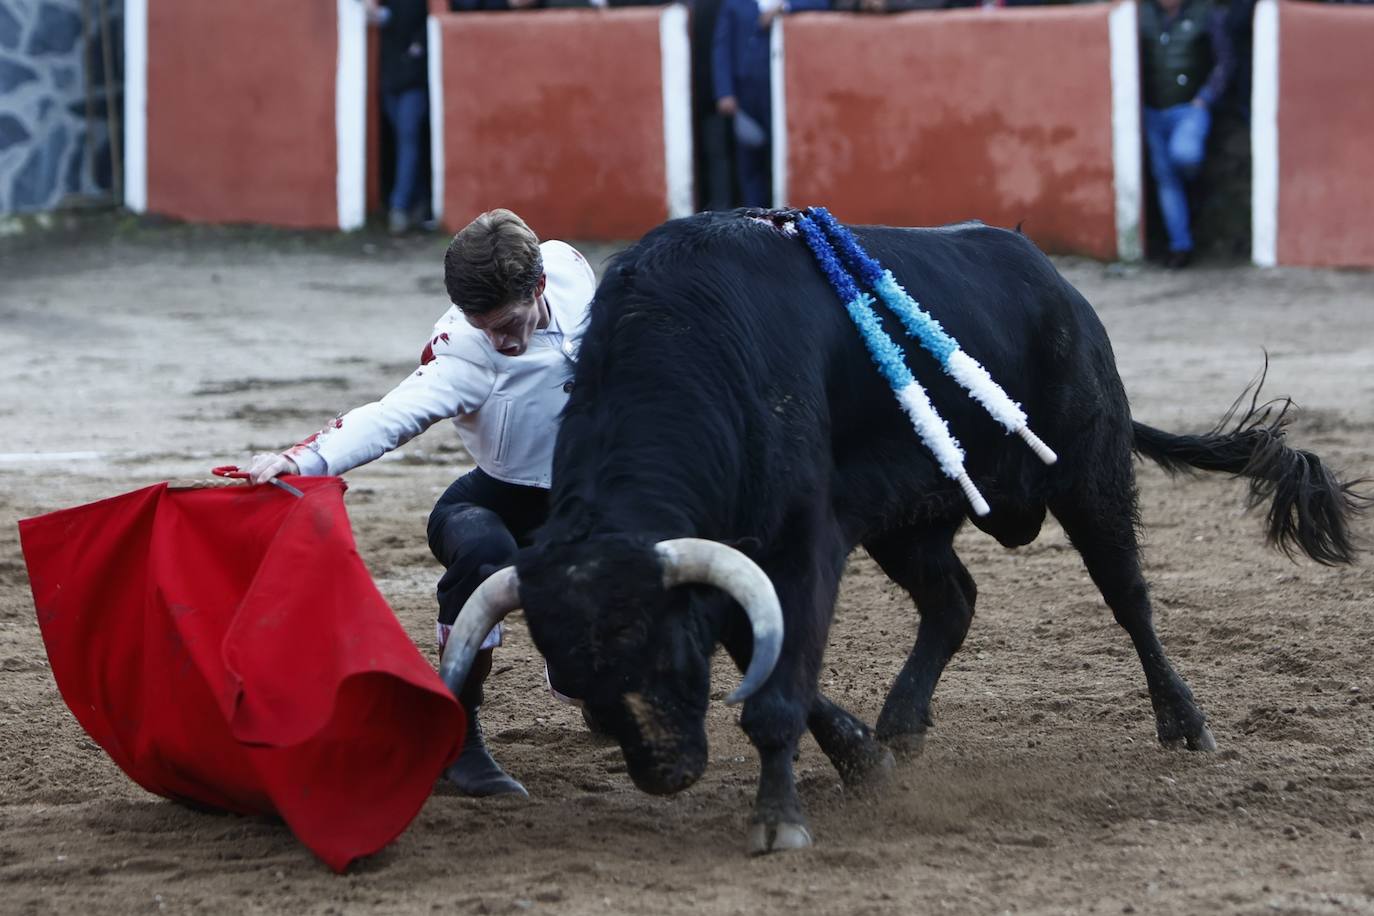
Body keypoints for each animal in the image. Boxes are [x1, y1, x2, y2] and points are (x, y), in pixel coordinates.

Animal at [442, 211, 1363, 856]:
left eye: (666, 655)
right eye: (577, 683)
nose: (666, 773)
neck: (689, 353)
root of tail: (1051, 277)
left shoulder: (802, 541)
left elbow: (779, 686)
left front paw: (779, 821)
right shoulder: (745, 563)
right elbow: (778, 664)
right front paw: (863, 761)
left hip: (1090, 470)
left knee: (1129, 598)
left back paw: (1185, 723)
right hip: (909, 521)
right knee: (954, 598)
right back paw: (902, 724)